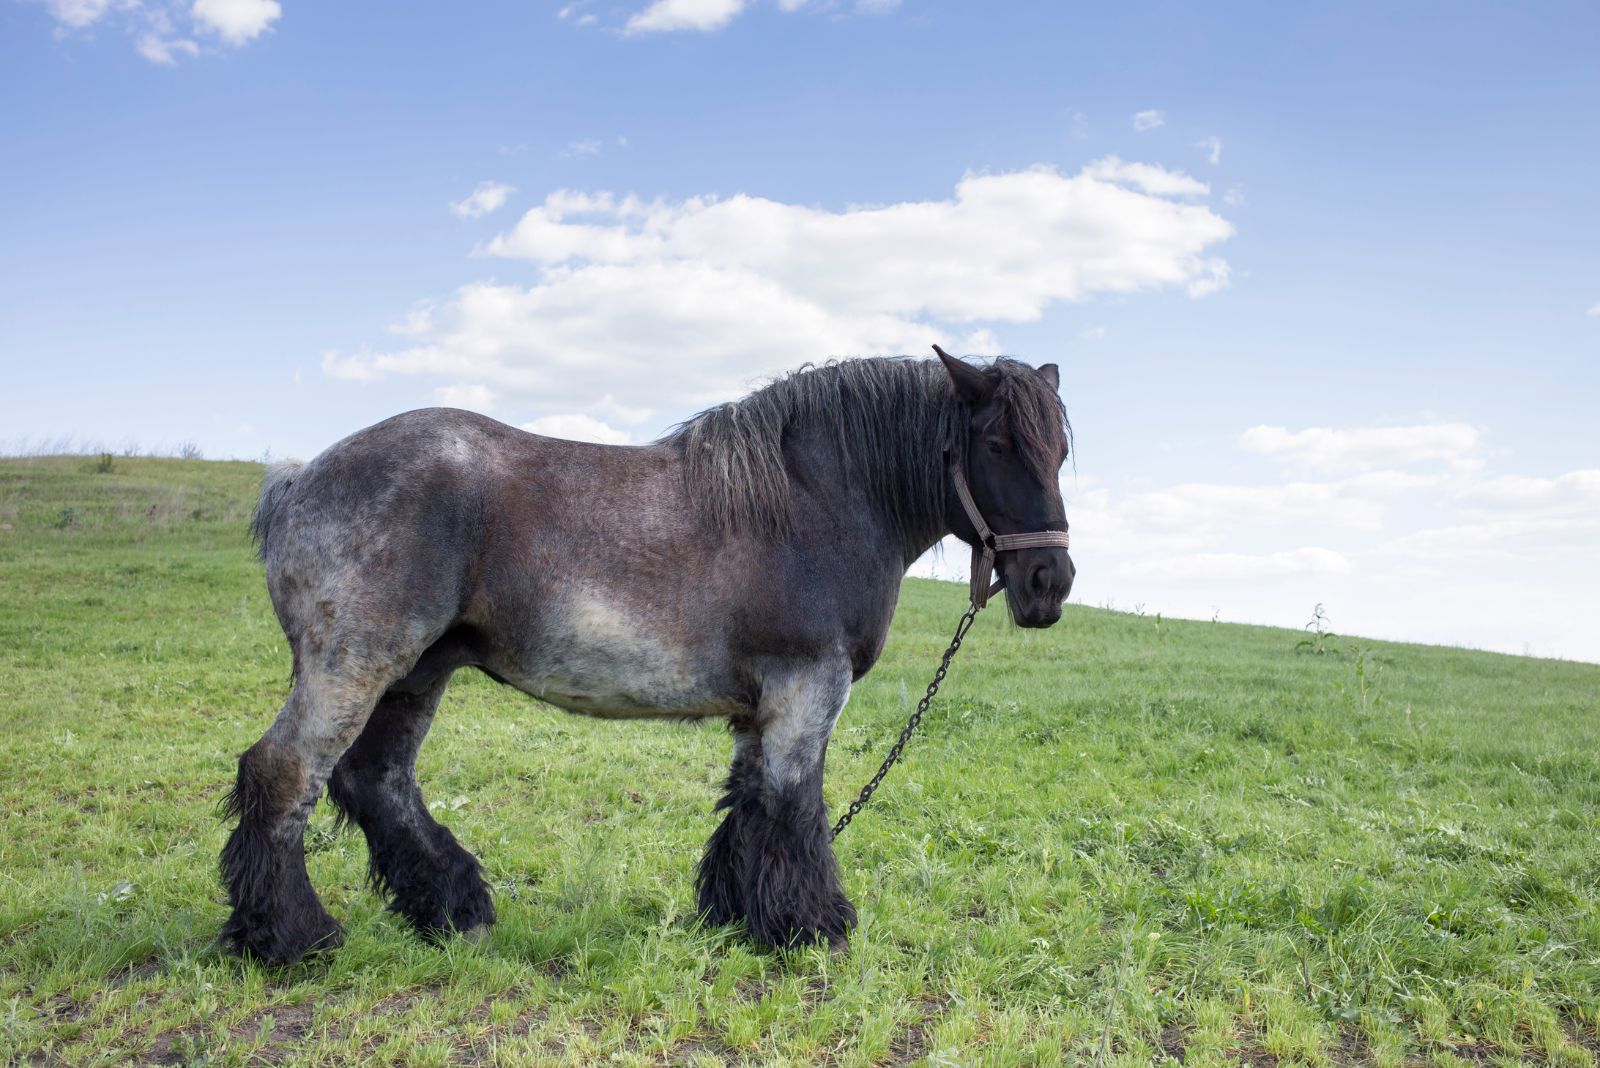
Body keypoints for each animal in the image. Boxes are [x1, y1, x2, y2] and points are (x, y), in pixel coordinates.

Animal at [222, 346, 1075, 965]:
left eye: (1061, 452)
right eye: (998, 442)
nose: (1051, 582)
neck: (819, 498)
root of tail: (300, 479)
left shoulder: (762, 705)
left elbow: (749, 805)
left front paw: (735, 915)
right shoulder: (808, 689)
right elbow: (795, 808)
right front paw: (814, 928)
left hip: (416, 674)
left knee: (377, 780)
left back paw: (454, 910)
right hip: (354, 666)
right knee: (285, 774)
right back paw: (292, 938)